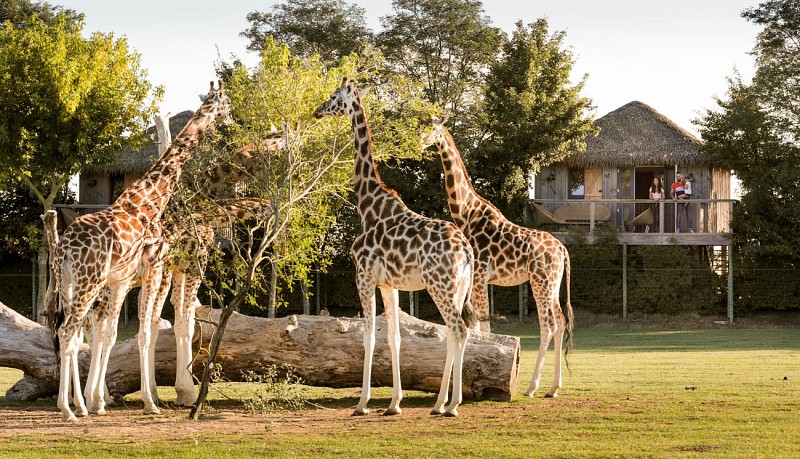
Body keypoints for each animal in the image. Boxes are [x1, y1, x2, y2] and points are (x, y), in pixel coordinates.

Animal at [45, 82, 230, 420]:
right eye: (227, 104)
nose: (229, 123)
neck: (149, 199)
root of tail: (63, 248)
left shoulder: (126, 280)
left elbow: (120, 333)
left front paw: (101, 399)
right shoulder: (157, 269)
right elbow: (147, 331)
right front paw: (151, 400)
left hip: (69, 285)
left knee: (75, 334)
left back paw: (79, 403)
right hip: (90, 283)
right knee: (69, 332)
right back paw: (70, 408)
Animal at [310, 78, 476, 416]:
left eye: (333, 97)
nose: (318, 110)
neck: (367, 204)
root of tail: (466, 250)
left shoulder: (363, 277)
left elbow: (368, 338)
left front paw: (362, 403)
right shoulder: (390, 284)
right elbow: (395, 338)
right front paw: (394, 403)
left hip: (439, 285)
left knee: (459, 330)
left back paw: (453, 404)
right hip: (457, 288)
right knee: (454, 334)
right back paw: (439, 403)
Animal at [418, 118, 576, 398]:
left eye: (433, 128)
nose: (419, 139)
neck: (465, 212)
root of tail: (561, 248)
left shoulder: (480, 277)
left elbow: (482, 327)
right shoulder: (478, 280)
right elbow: (479, 326)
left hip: (540, 282)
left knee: (548, 325)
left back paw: (532, 387)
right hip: (553, 284)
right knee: (559, 321)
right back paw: (553, 387)